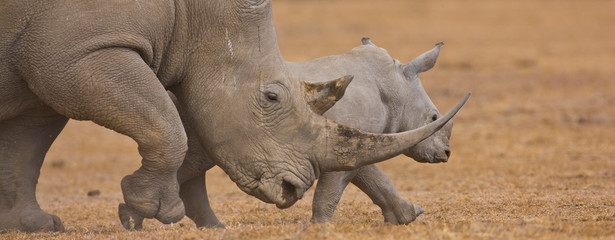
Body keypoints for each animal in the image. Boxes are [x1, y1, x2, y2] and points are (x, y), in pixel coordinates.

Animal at [288, 38, 452, 224]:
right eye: (433, 117)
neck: (395, 87)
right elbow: (332, 189)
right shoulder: (344, 142)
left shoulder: (353, 142)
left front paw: (406, 216)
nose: (446, 153)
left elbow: (370, 175)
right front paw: (321, 225)